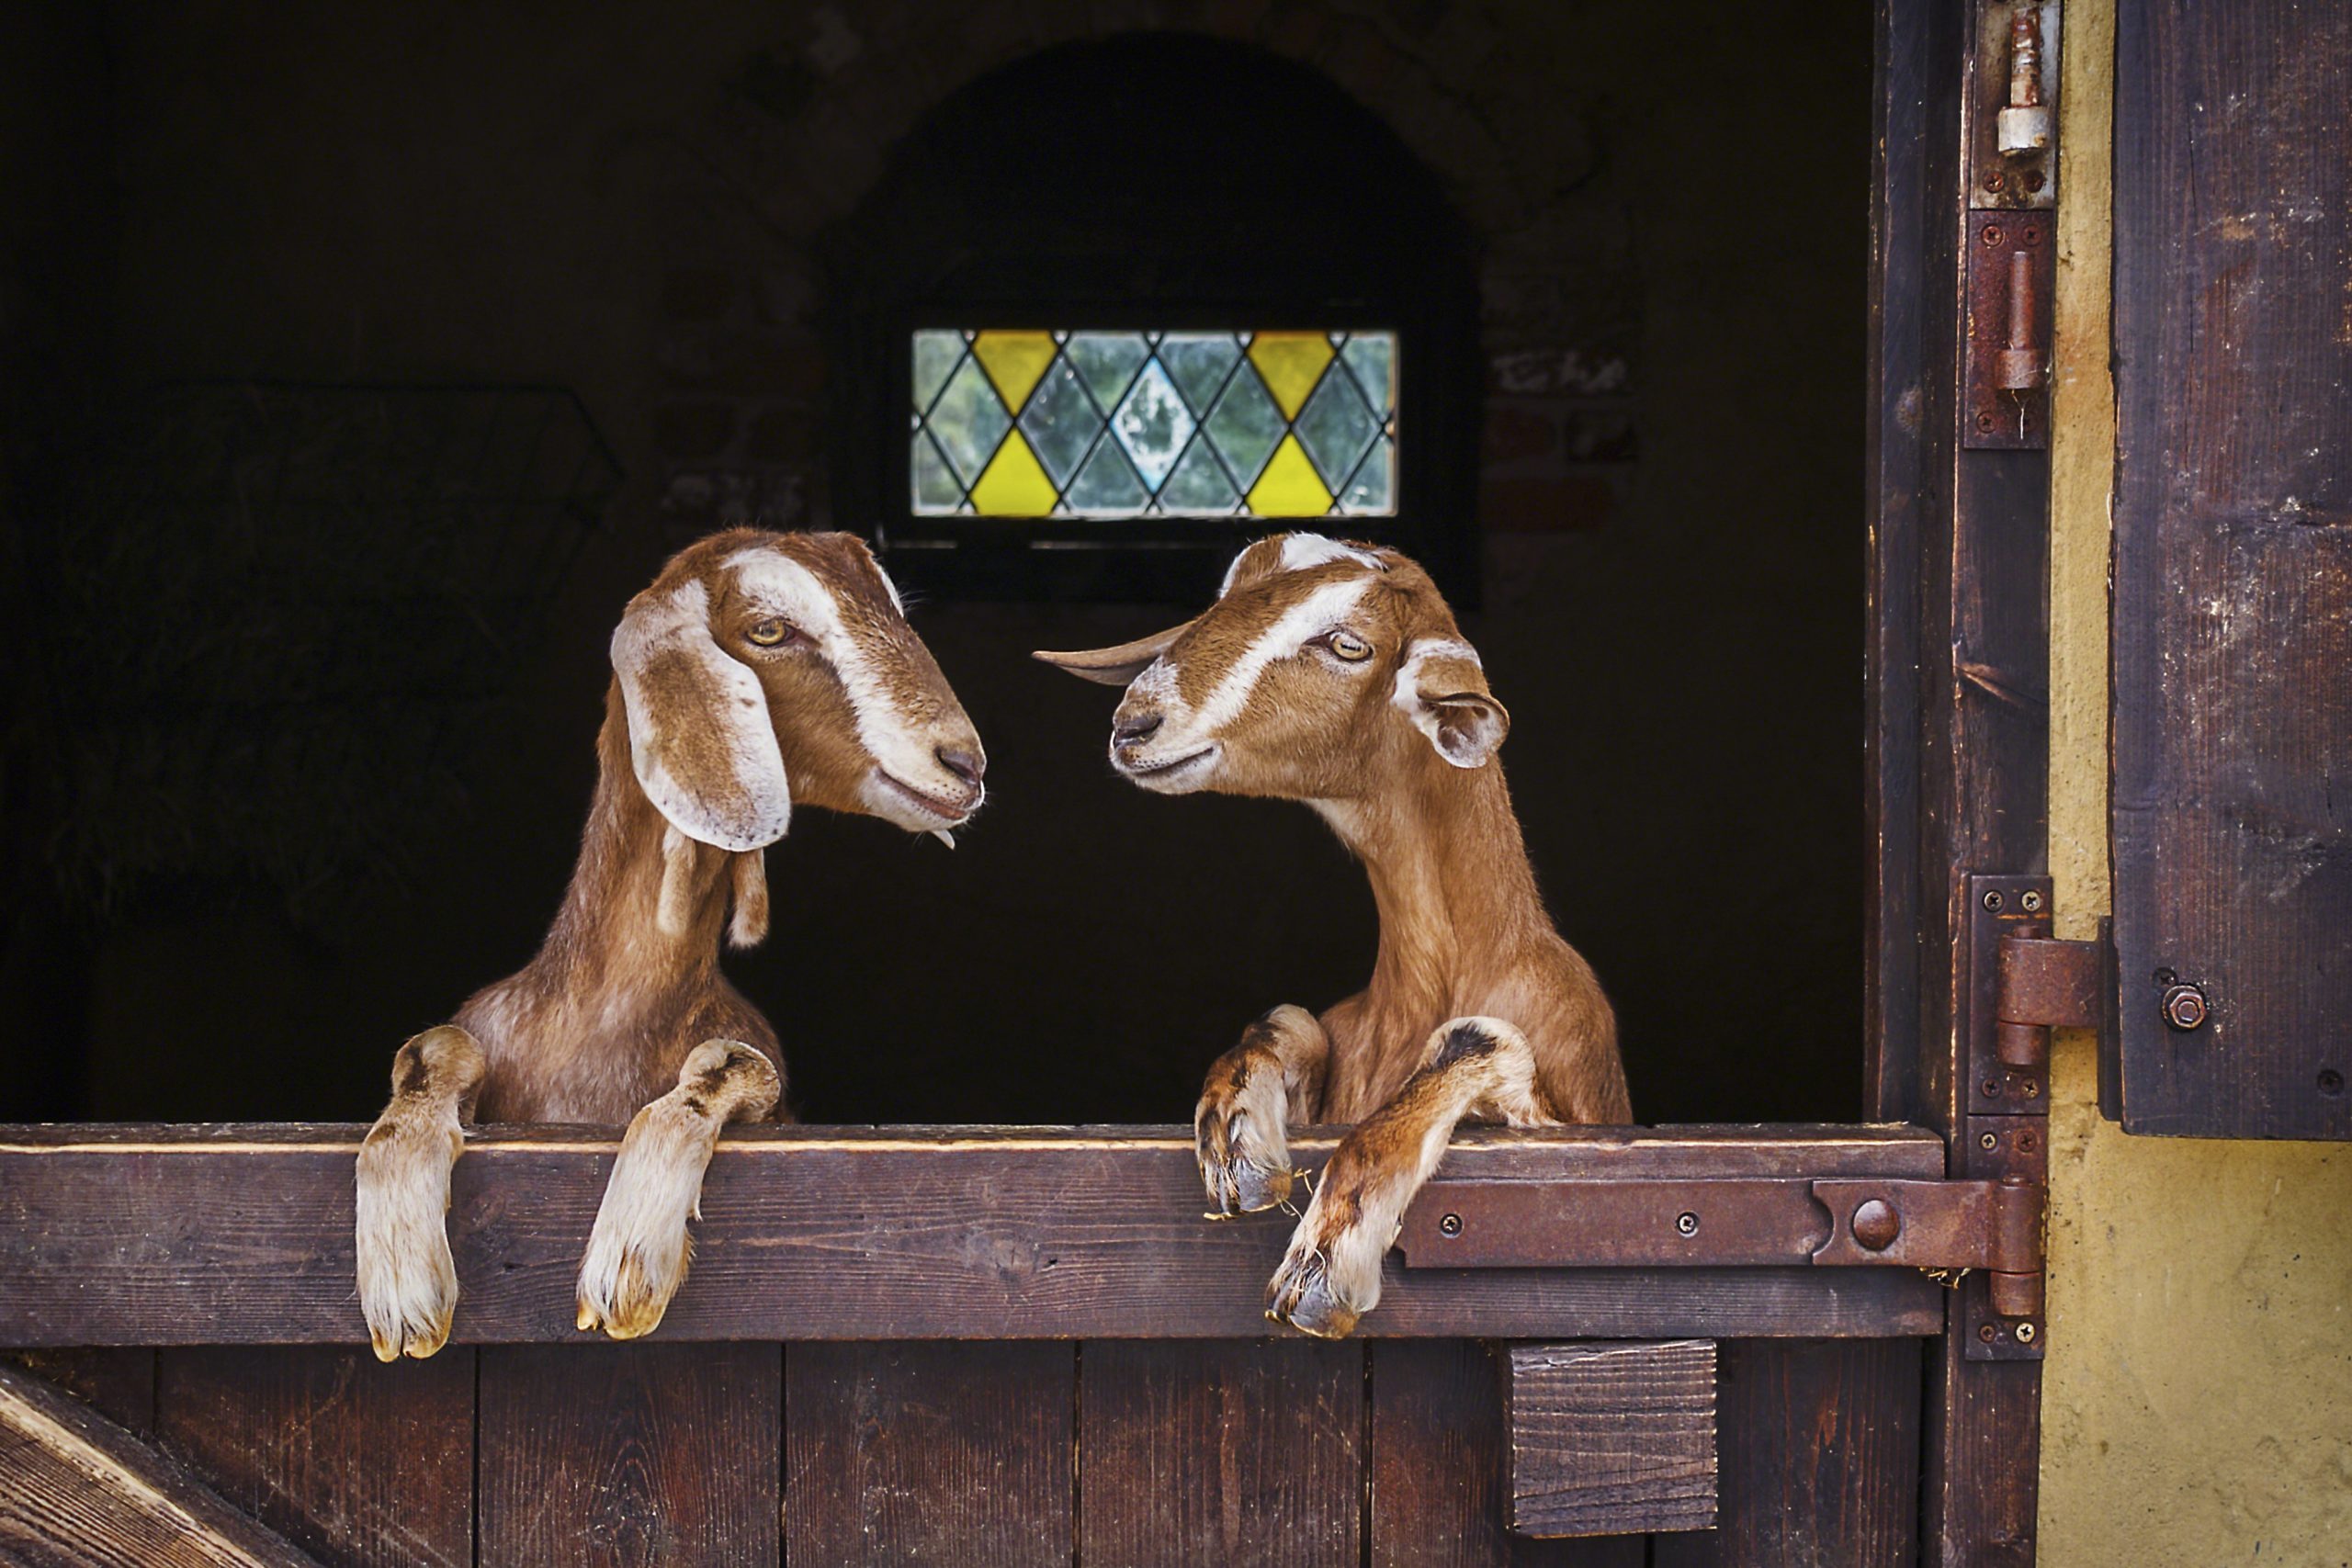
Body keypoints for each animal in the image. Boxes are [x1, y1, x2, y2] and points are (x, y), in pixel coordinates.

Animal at [357, 528, 985, 1358]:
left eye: (893, 607)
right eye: (769, 629)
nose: (965, 763)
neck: (600, 1023)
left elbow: (728, 1062)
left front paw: (627, 1253)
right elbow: (431, 1049)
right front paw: (401, 1281)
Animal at [1036, 532, 1627, 1337]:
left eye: (1349, 645)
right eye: (1227, 598)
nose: (1136, 723)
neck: (1430, 982)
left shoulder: (1572, 1120)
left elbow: (1476, 1036)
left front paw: (1325, 1255)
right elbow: (1286, 1018)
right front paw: (1235, 1137)